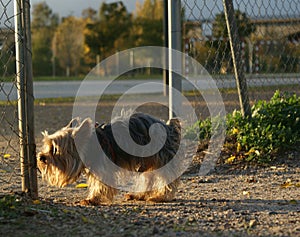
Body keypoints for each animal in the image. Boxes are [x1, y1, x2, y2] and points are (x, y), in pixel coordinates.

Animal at [36, 113, 182, 206]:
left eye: (55, 149)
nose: (41, 157)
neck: (89, 145)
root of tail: (169, 127)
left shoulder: (104, 169)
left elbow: (101, 185)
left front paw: (93, 199)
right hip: (149, 162)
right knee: (148, 178)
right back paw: (138, 195)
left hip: (161, 157)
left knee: (167, 179)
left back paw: (160, 197)